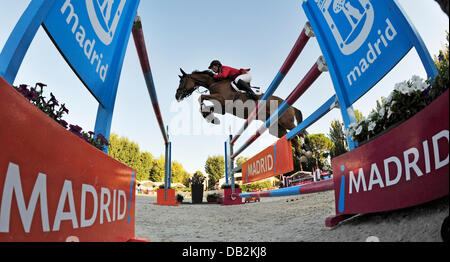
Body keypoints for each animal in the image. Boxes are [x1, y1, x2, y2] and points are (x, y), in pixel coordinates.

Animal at [176, 68, 306, 157]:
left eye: (182, 81)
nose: (177, 96)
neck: (214, 82)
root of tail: (291, 106)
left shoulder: (222, 100)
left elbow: (201, 97)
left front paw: (209, 116)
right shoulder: (222, 108)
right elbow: (206, 107)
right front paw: (211, 118)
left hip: (286, 121)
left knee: (301, 132)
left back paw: (305, 151)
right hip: (276, 127)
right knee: (293, 137)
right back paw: (300, 155)